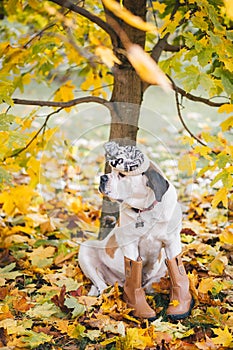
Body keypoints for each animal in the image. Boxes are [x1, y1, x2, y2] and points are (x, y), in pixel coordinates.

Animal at [78, 142, 193, 320]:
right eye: (112, 172)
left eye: (122, 175)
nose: (103, 177)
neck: (146, 209)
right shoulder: (130, 245)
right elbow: (133, 268)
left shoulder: (172, 242)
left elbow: (177, 268)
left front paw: (180, 303)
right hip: (86, 249)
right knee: (101, 285)